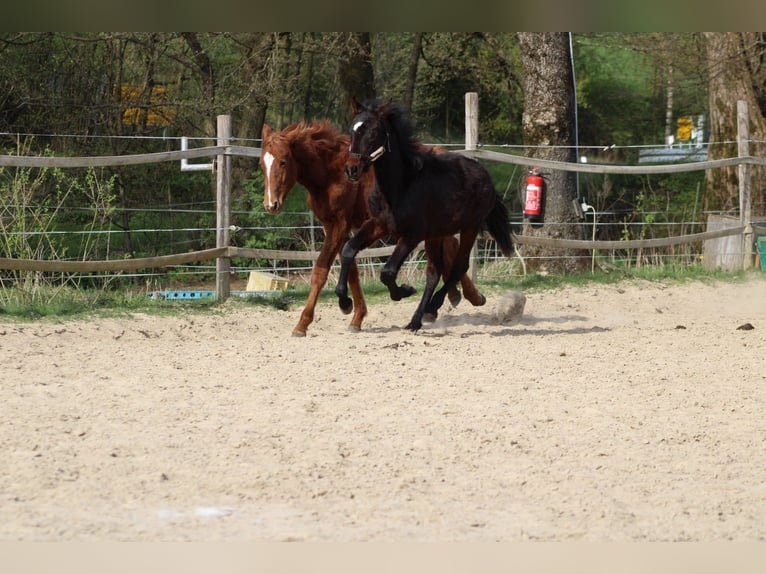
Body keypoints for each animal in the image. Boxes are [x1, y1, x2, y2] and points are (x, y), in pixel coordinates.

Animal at [259, 120, 488, 336]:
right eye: (262, 163)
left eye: (283, 161)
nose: (271, 205)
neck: (332, 173)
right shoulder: (337, 226)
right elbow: (351, 270)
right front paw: (354, 314)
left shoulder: (338, 225)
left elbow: (321, 271)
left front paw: (303, 324)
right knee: (451, 247)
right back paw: (457, 297)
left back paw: (467, 297)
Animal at [338, 99, 514, 332]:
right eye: (352, 129)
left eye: (374, 131)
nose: (352, 169)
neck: (400, 187)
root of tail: (486, 175)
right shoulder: (378, 224)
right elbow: (348, 250)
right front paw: (344, 302)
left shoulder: (412, 235)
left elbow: (388, 272)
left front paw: (404, 291)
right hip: (436, 234)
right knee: (434, 272)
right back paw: (417, 319)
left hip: (470, 227)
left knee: (459, 266)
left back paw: (431, 308)